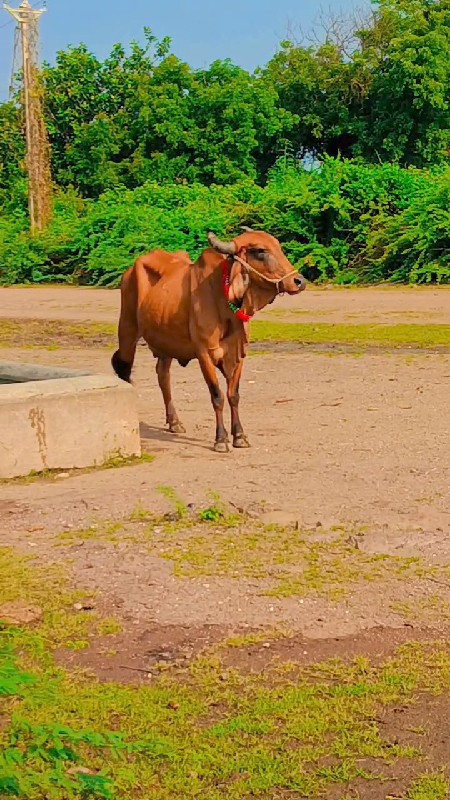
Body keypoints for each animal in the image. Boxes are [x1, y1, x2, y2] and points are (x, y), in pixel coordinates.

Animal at [111, 228, 306, 454]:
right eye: (260, 251)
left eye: (278, 247)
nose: (299, 281)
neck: (222, 300)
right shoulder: (204, 353)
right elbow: (217, 396)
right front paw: (221, 439)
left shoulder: (239, 354)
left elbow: (233, 395)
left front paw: (240, 436)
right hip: (127, 330)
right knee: (124, 371)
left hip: (165, 342)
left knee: (163, 376)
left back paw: (174, 422)